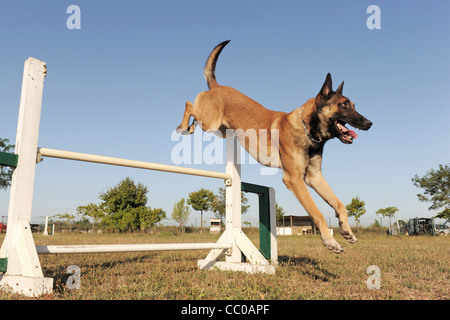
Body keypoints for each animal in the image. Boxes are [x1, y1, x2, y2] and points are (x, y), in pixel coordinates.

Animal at [178, 40, 370, 252]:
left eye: (353, 105)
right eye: (344, 105)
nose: (369, 123)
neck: (306, 128)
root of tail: (216, 86)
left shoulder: (314, 177)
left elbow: (340, 204)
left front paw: (346, 230)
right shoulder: (294, 179)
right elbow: (317, 213)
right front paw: (330, 241)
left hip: (219, 129)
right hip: (210, 122)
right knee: (189, 104)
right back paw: (183, 126)